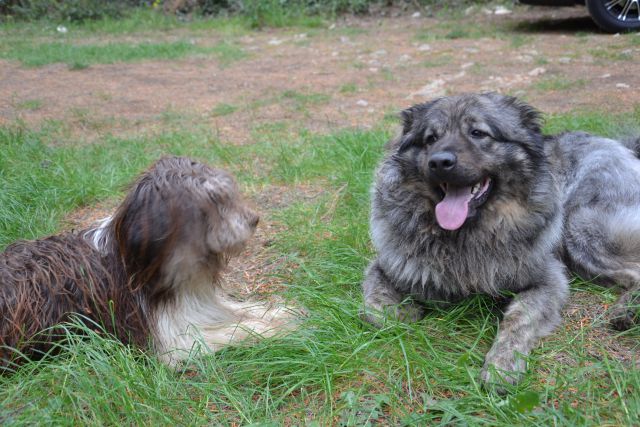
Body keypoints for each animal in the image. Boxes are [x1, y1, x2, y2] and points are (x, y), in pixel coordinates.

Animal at [0, 155, 290, 370]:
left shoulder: (198, 303)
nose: (254, 219)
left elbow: (238, 308)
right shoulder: (167, 340)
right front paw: (270, 328)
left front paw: (278, 312)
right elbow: (235, 330)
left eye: (227, 193)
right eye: (214, 201)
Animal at [362, 93, 636, 388]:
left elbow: (519, 318)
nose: (439, 162)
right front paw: (403, 312)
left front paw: (502, 364)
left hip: (581, 228)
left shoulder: (547, 280)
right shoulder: (387, 265)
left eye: (478, 133)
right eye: (430, 139)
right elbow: (376, 309)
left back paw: (627, 310)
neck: (467, 236)